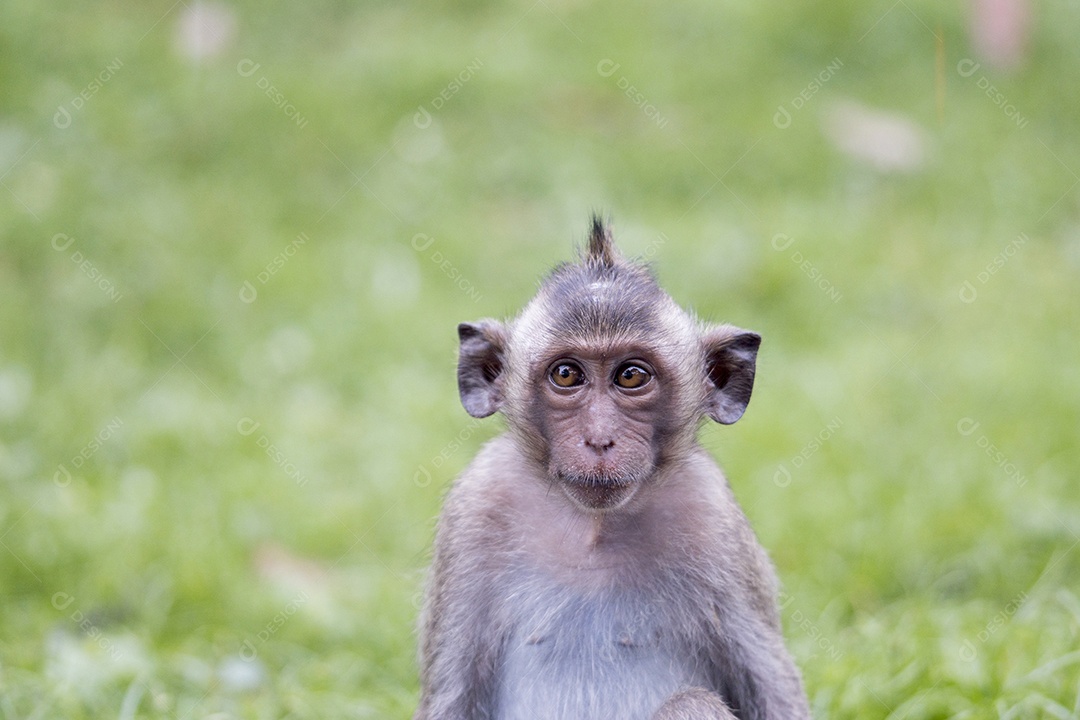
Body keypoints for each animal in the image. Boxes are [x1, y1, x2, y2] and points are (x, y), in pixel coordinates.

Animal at [414, 217, 811, 720]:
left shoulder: (710, 512)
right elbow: (452, 694)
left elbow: (771, 689)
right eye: (566, 374)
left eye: (631, 376)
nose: (600, 439)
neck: (594, 527)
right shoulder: (477, 505)